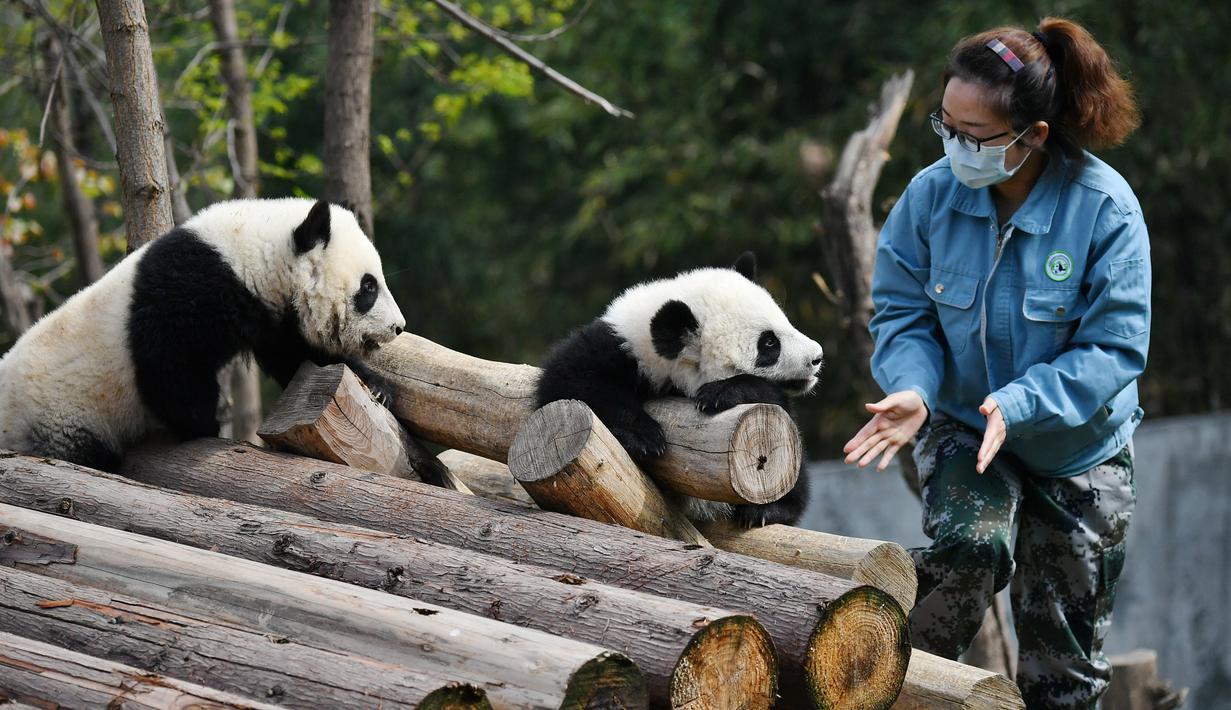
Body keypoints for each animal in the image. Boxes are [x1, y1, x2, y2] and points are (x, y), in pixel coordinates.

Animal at [0, 197, 406, 473]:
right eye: (369, 287)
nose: (398, 327)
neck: (250, 253)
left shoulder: (270, 314)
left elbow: (296, 357)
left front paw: (377, 388)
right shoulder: (189, 289)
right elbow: (169, 365)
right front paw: (204, 424)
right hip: (59, 418)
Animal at [536, 252, 824, 527]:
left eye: (785, 321)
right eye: (769, 343)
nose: (817, 357)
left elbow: (771, 398)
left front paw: (718, 393)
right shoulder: (610, 348)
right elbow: (568, 386)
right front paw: (644, 438)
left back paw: (766, 510)